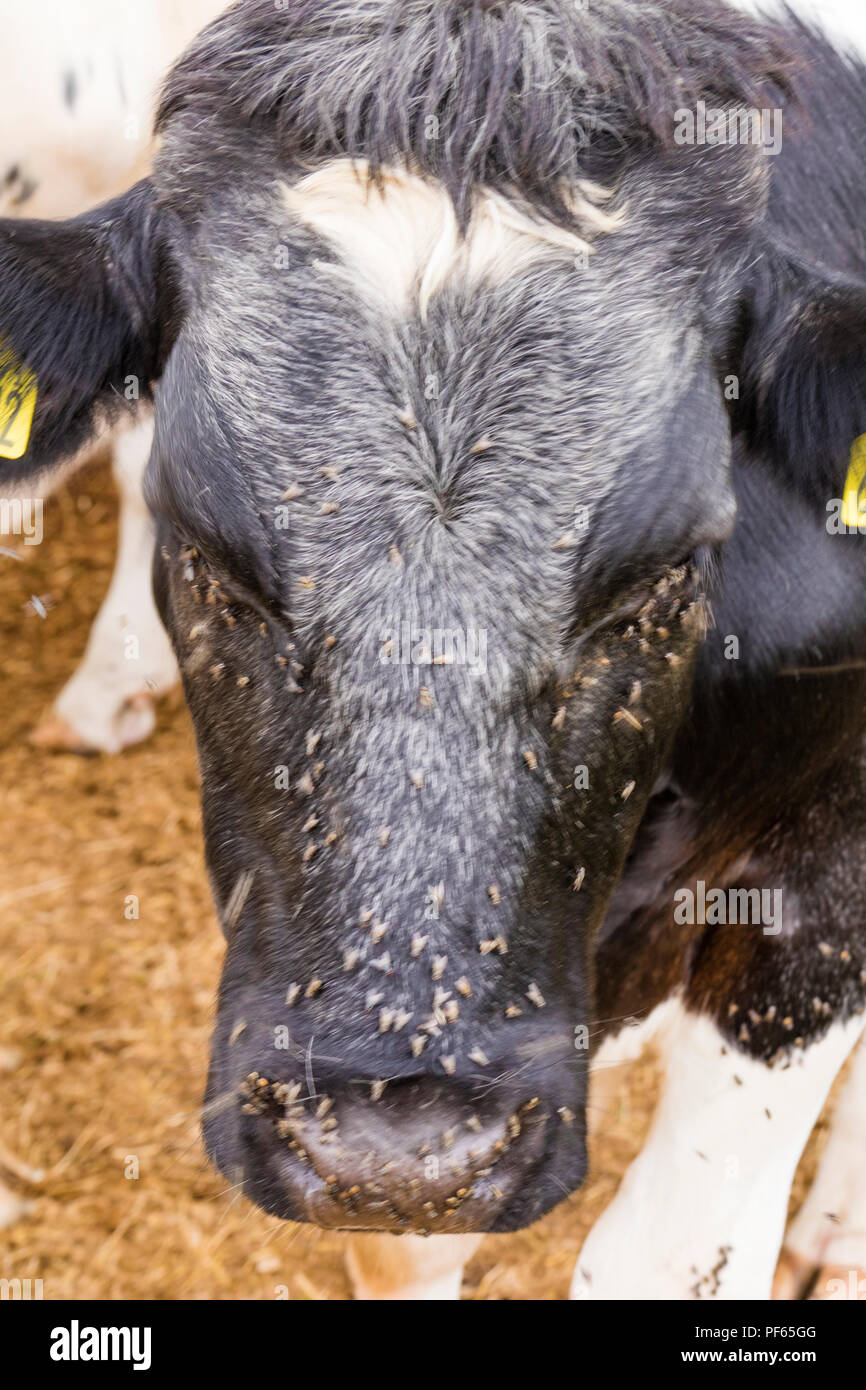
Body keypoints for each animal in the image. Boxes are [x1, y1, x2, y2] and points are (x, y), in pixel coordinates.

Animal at [2, 0, 865, 1301]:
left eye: (669, 565)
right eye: (203, 551)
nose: (392, 1137)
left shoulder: (821, 874)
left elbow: (665, 1253)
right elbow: (406, 1244)